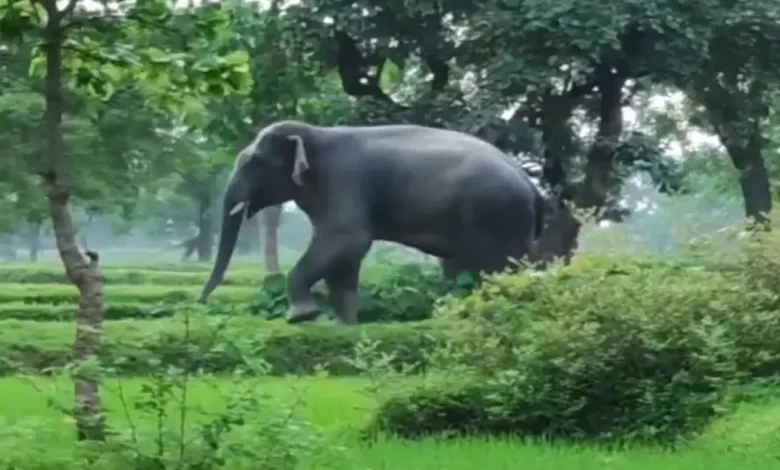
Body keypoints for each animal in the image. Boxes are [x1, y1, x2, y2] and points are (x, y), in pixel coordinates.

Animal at [198, 120, 545, 325]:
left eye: (254, 163)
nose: (200, 302)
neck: (317, 132)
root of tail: (531, 186)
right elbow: (345, 257)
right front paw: (346, 327)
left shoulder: (343, 179)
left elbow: (348, 238)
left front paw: (301, 316)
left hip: (495, 216)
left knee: (494, 270)